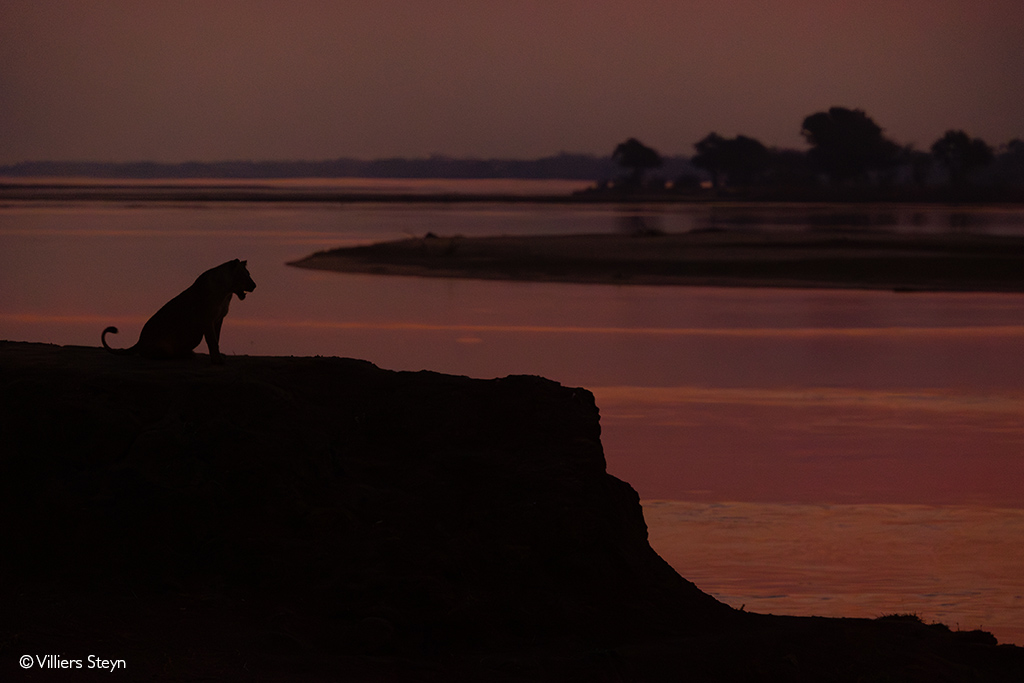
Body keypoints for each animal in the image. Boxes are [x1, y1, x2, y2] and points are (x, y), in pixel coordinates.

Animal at [101, 258, 256, 362]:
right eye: (245, 274)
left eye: (248, 273)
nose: (255, 285)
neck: (227, 292)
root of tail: (140, 340)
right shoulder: (207, 319)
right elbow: (212, 340)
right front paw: (217, 360)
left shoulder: (218, 319)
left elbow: (216, 338)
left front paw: (218, 355)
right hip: (167, 346)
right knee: (153, 354)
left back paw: (189, 354)